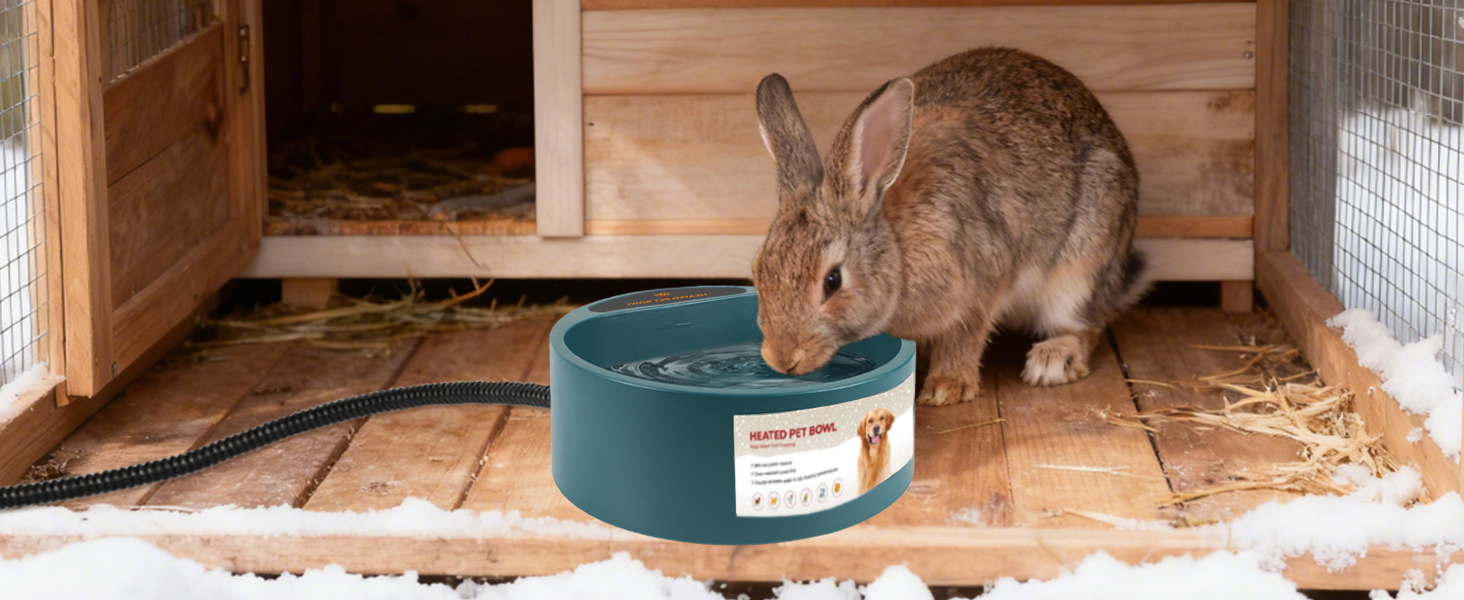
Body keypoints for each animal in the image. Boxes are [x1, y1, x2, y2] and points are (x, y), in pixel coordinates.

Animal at [751, 47, 1150, 406]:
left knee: (1085, 326)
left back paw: (1052, 361)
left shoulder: (978, 290)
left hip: (1080, 271)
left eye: (832, 281)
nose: (782, 360)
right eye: (757, 270)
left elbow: (965, 338)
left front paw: (946, 389)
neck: (897, 248)